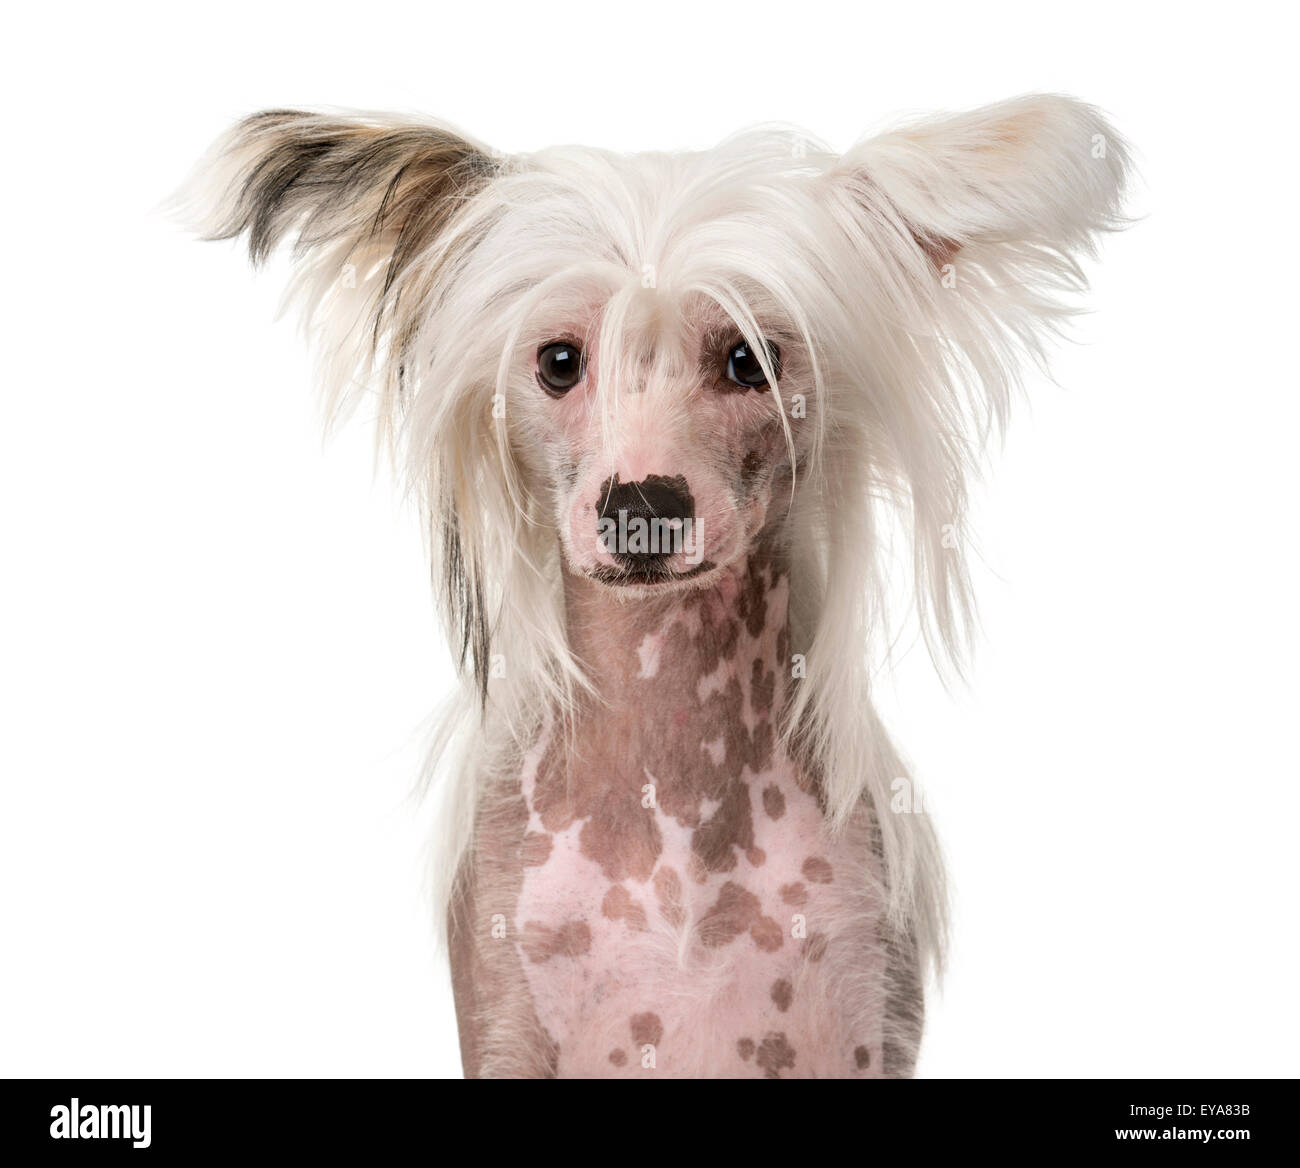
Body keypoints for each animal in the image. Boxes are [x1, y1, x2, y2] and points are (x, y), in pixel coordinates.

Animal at [180, 95, 1128, 1076]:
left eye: (751, 361)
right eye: (559, 362)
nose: (642, 506)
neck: (671, 785)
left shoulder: (868, 1019)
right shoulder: (504, 1019)